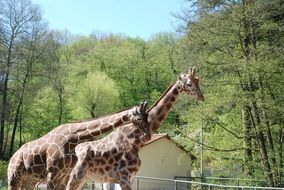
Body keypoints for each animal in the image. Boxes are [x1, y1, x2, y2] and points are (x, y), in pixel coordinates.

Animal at [7, 101, 149, 189]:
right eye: (139, 117)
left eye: (147, 116)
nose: (148, 134)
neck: (73, 139)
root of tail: (12, 157)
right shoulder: (52, 173)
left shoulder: (64, 175)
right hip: (13, 176)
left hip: (29, 180)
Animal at [65, 67, 204, 190]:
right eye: (189, 84)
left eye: (198, 80)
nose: (202, 97)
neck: (137, 139)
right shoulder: (123, 177)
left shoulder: (130, 177)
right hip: (76, 176)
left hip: (84, 178)